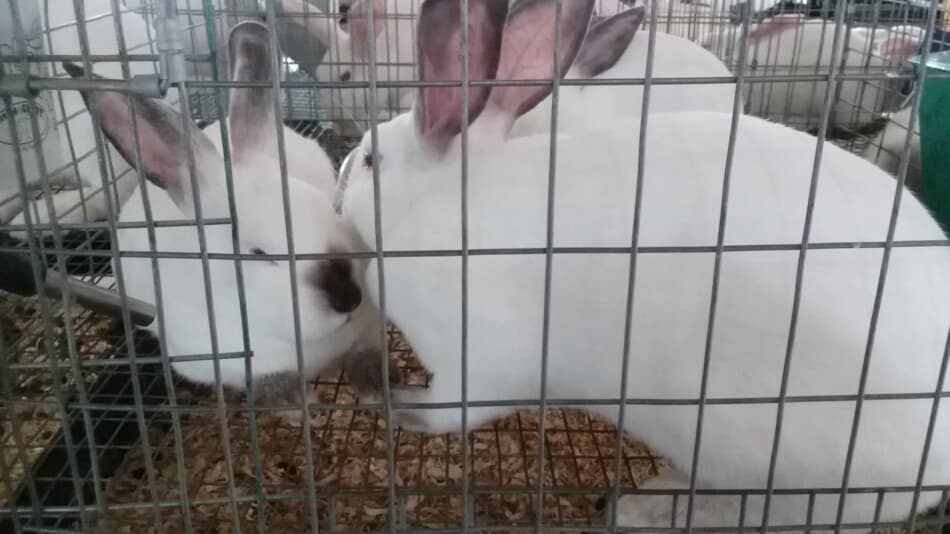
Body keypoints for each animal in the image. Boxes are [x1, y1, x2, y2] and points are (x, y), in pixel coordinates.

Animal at [67, 22, 388, 410]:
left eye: (330, 213)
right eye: (257, 253)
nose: (348, 297)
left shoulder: (369, 323)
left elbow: (365, 350)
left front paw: (374, 387)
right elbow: (260, 380)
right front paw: (293, 399)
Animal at [340, 0, 950, 532]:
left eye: (370, 159)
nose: (342, 178)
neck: (436, 202)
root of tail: (935, 464)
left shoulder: (477, 363)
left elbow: (445, 413)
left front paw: (385, 397)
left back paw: (648, 506)